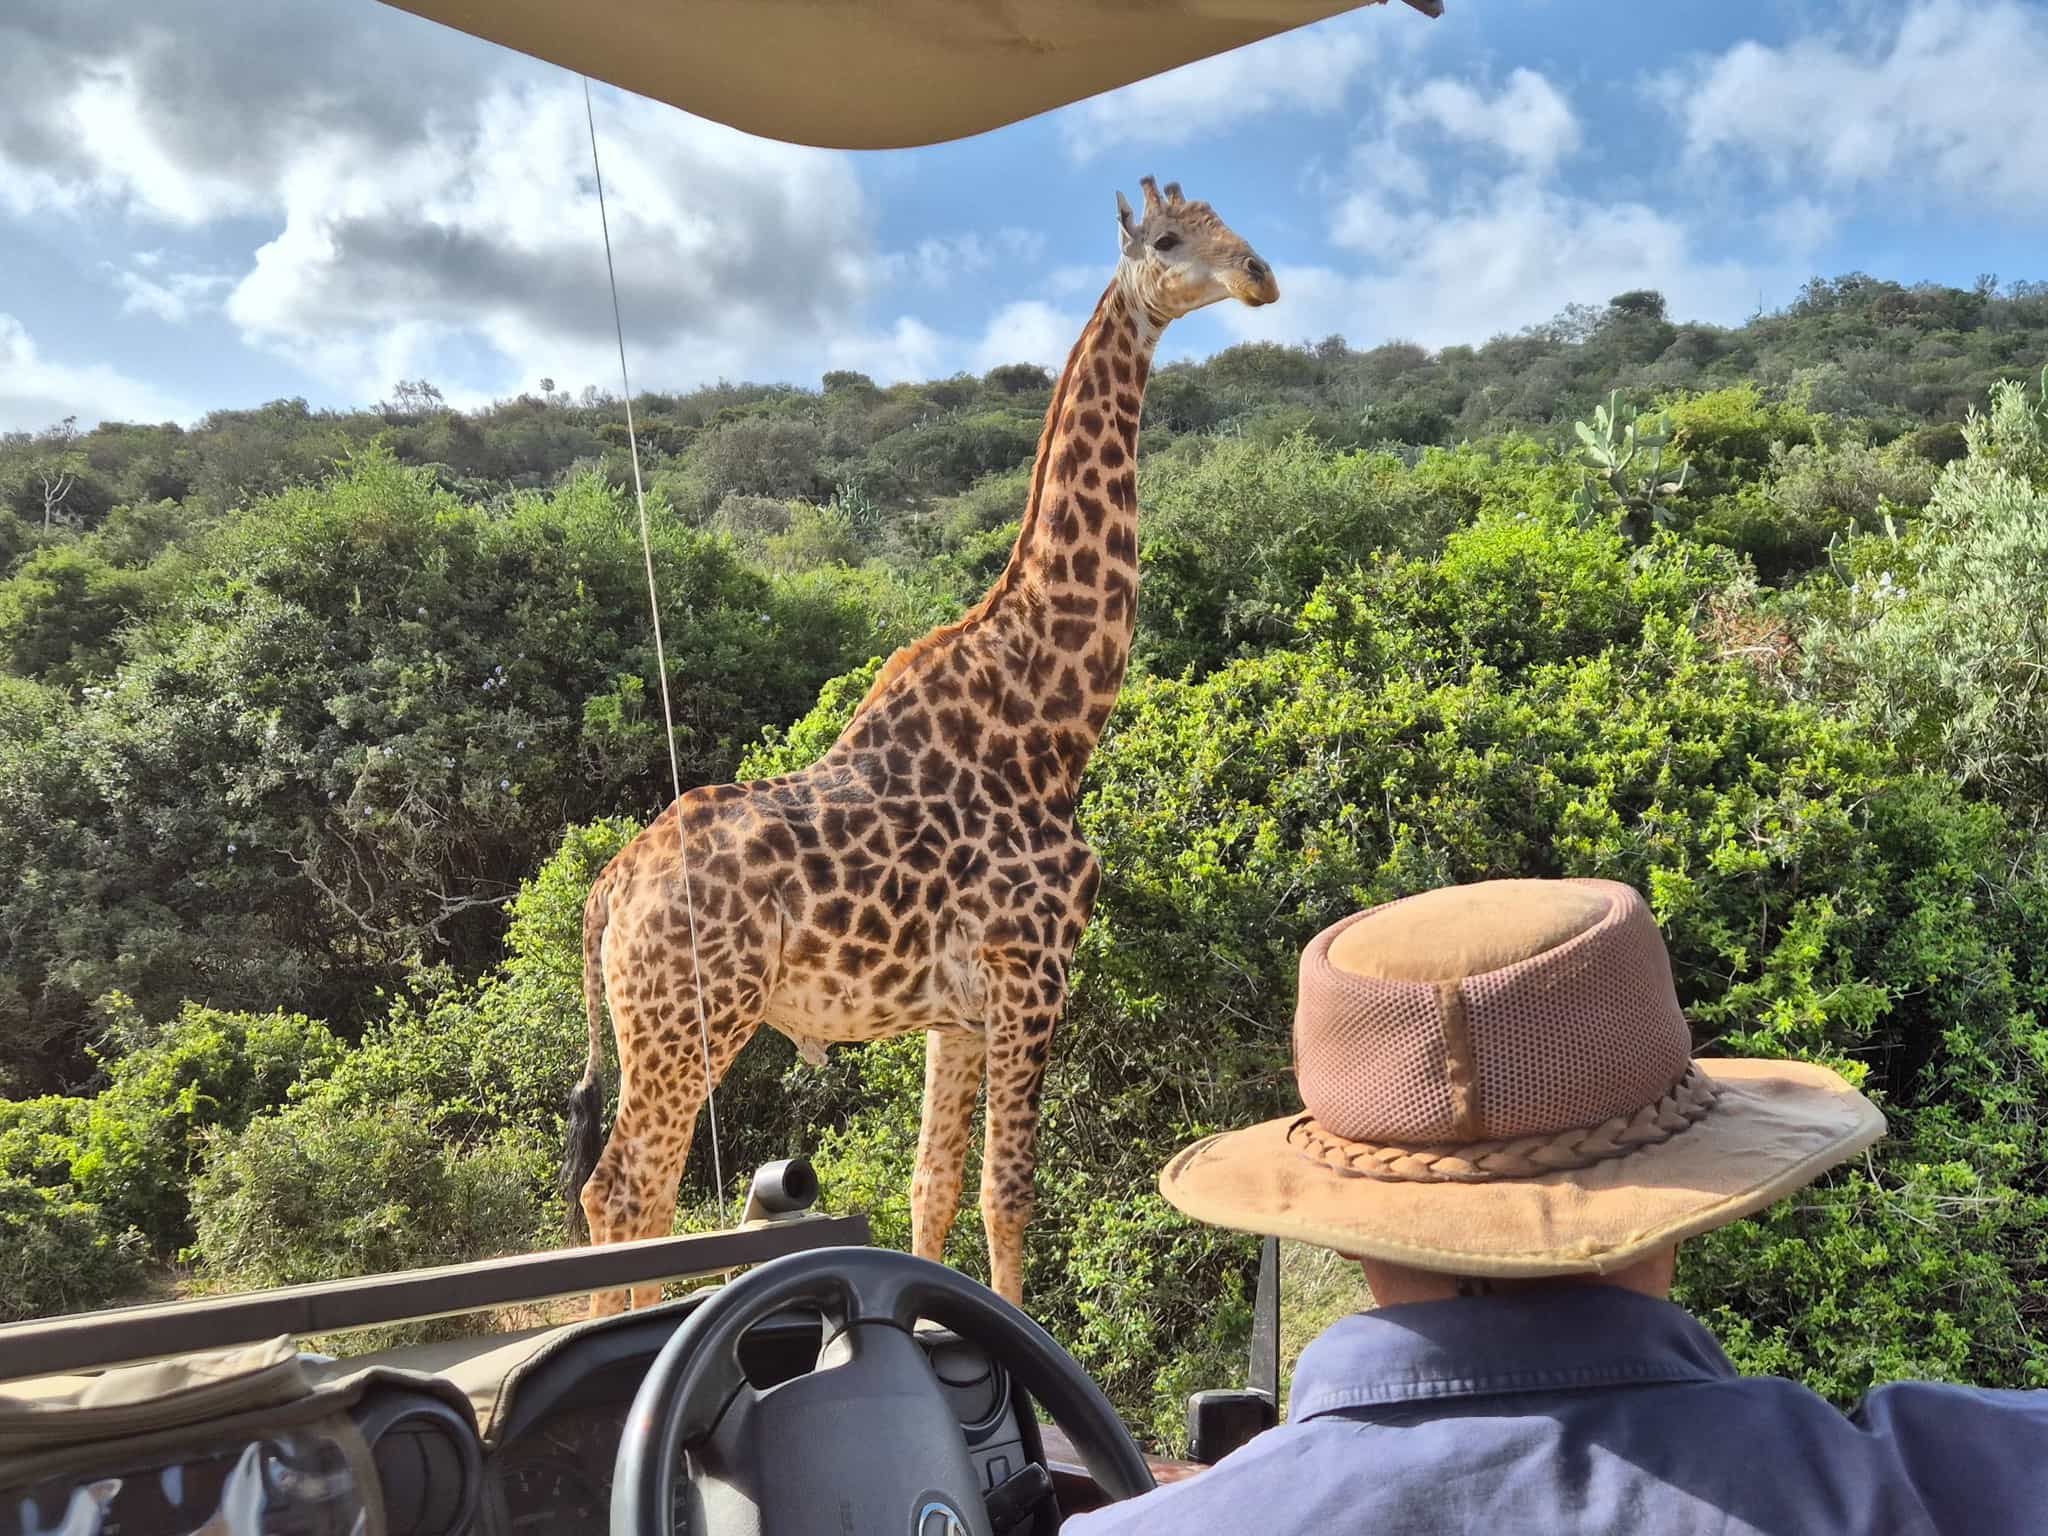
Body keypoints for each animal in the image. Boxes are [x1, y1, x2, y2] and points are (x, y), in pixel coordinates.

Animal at [561, 176, 1278, 1314]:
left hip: (662, 1023)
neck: (1050, 721)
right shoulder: (1034, 970)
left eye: (1228, 226)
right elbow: (1009, 1189)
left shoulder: (959, 1010)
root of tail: (606, 893)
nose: (1260, 276)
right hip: (692, 1016)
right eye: (1169, 240)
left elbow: (933, 1183)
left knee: (638, 1189)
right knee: (625, 1187)